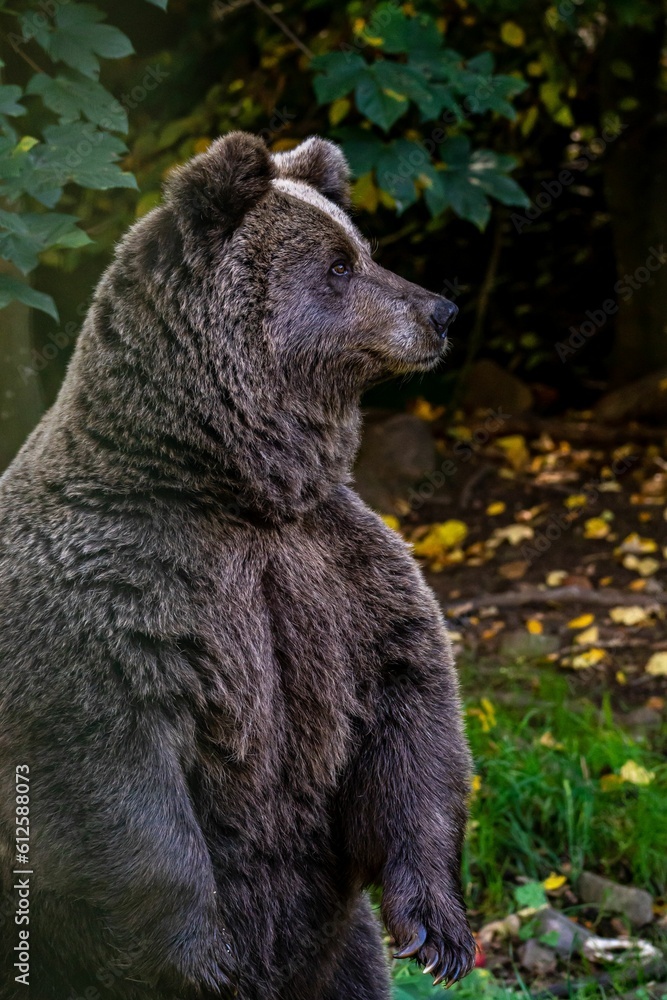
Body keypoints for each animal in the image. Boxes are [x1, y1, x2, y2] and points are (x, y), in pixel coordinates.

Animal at [0, 132, 474, 1000]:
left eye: (361, 248)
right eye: (337, 266)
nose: (439, 312)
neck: (233, 485)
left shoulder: (338, 571)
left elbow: (410, 721)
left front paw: (437, 933)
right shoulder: (115, 591)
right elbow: (114, 779)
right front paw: (203, 956)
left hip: (336, 950)